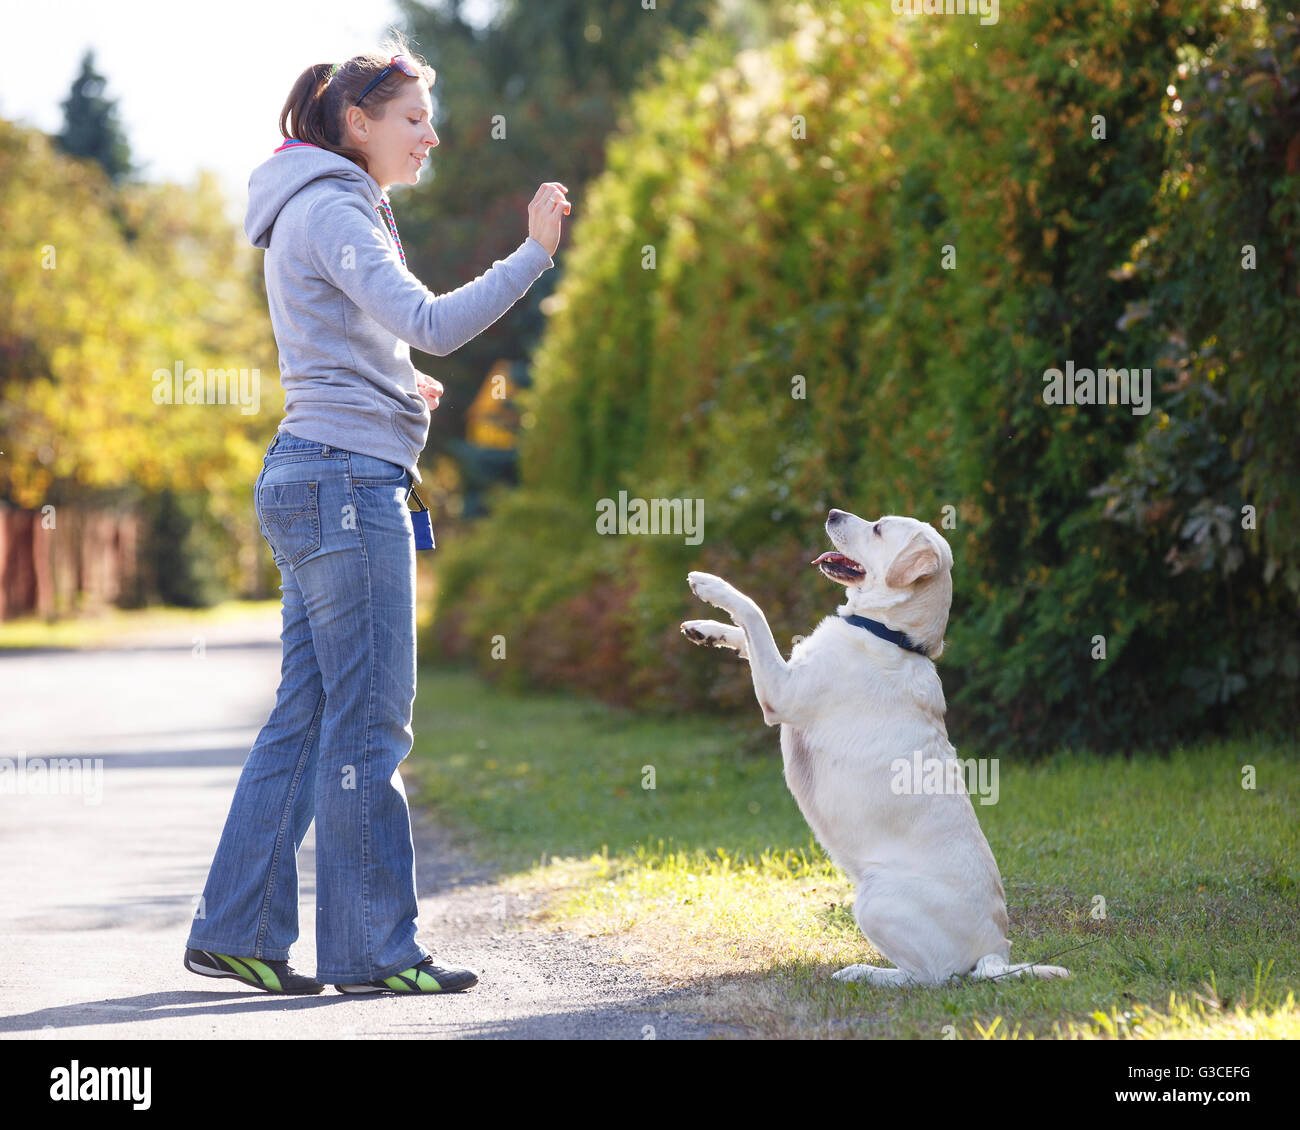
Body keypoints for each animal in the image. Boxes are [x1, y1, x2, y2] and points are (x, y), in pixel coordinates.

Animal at [681, 507, 1066, 983]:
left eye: (879, 528)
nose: (832, 512)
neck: (888, 632)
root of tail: (996, 951)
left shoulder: (781, 693)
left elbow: (755, 615)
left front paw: (711, 585)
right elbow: (748, 636)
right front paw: (706, 629)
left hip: (874, 899)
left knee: (931, 978)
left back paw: (863, 972)